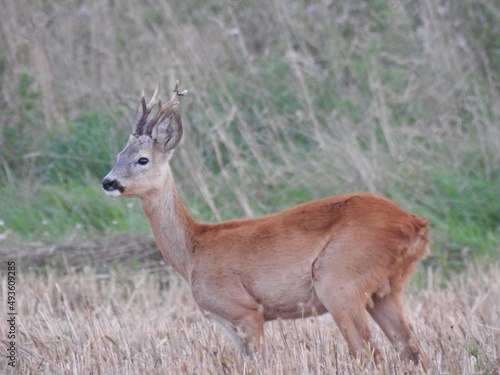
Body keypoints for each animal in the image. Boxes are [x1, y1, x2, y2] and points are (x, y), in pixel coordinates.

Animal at [102, 83, 430, 368]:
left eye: (142, 159)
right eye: (118, 156)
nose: (108, 182)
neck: (193, 250)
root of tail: (415, 223)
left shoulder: (245, 310)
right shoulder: (229, 322)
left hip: (339, 279)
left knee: (370, 354)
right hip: (386, 289)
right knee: (411, 350)